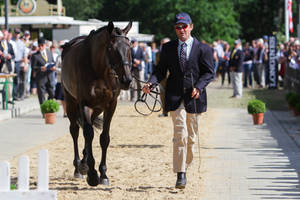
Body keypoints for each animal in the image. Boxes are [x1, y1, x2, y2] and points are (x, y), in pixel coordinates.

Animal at [61, 21, 132, 186]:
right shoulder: (84, 104)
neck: (99, 70)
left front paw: (103, 174)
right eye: (112, 48)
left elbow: (104, 138)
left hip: (98, 108)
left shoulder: (110, 105)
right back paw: (78, 167)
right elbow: (88, 134)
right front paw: (93, 174)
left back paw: (84, 162)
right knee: (75, 130)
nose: (126, 80)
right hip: (71, 102)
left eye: (129, 47)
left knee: (89, 126)